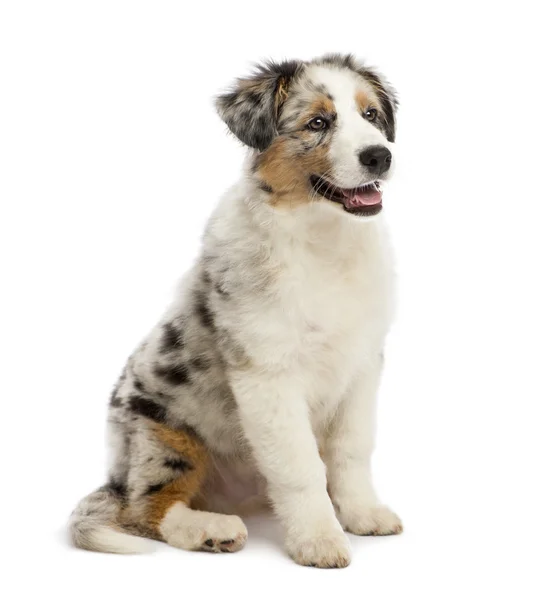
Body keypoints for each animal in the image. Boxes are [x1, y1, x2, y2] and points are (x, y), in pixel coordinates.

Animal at [73, 51, 404, 568]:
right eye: (318, 122)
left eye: (371, 115)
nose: (380, 156)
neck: (324, 241)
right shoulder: (267, 375)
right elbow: (301, 467)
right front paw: (319, 539)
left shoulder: (362, 365)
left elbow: (351, 451)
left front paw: (362, 514)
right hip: (163, 436)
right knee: (146, 508)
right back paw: (211, 529)